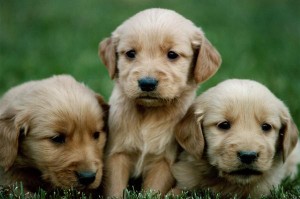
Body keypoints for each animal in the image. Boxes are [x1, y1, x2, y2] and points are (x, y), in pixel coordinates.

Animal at [98, 8, 220, 197]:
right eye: (130, 53)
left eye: (172, 55)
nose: (147, 83)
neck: (149, 113)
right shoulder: (117, 155)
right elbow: (115, 189)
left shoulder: (164, 162)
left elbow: (153, 190)